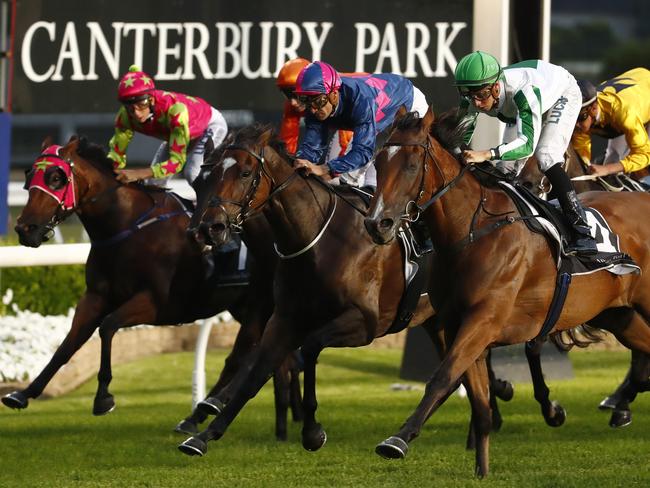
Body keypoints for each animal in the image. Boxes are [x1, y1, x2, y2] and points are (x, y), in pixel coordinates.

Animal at [5, 138, 298, 442]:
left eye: (56, 178)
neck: (125, 227)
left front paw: (103, 398)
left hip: (264, 302)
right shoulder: (94, 297)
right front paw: (23, 393)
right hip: (247, 305)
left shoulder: (156, 304)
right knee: (281, 360)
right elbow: (68, 344)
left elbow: (108, 326)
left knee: (252, 356)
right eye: (29, 175)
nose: (26, 228)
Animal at [362, 107, 648, 476]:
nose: (376, 224)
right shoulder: (457, 324)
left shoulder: (483, 322)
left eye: (411, 165)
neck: (471, 232)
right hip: (618, 315)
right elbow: (478, 402)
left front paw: (397, 439)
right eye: (379, 163)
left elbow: (442, 377)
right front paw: (482, 469)